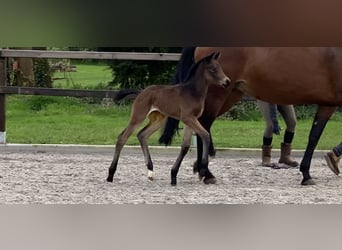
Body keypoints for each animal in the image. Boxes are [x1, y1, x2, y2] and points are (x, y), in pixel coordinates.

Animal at [105, 51, 231, 186]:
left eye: (220, 67)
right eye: (213, 69)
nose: (227, 82)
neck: (192, 92)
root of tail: (141, 92)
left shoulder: (190, 120)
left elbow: (185, 146)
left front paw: (173, 176)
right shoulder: (188, 118)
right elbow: (205, 135)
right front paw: (203, 169)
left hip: (158, 119)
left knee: (142, 134)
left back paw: (150, 172)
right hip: (138, 116)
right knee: (122, 138)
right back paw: (110, 175)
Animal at [160, 47, 342, 187]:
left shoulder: (328, 104)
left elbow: (314, 136)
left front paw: (313, 170)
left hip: (231, 93)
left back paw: (201, 169)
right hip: (217, 95)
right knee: (203, 127)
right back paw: (207, 173)